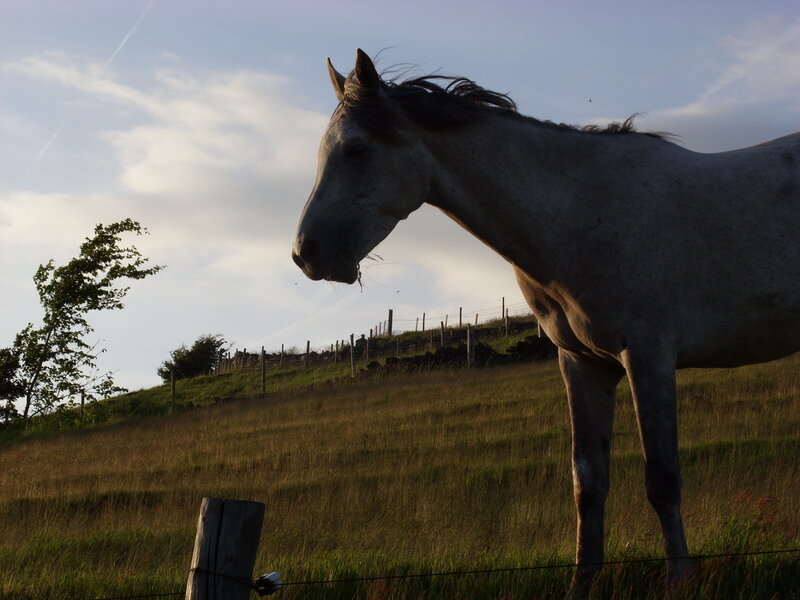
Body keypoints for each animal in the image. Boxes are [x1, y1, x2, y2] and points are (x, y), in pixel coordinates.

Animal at [292, 49, 800, 598]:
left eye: (357, 150)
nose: (306, 253)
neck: (578, 213)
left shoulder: (649, 358)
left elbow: (662, 479)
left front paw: (680, 580)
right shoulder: (582, 364)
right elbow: (588, 483)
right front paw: (582, 584)